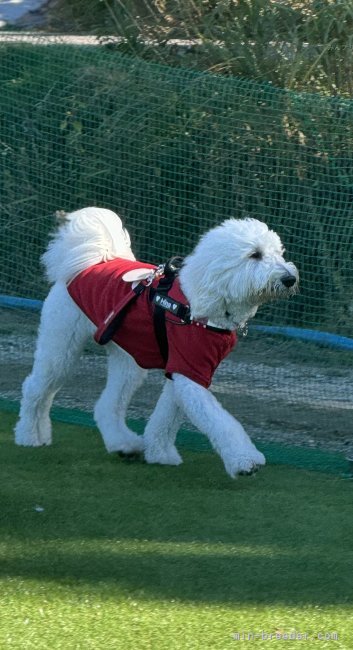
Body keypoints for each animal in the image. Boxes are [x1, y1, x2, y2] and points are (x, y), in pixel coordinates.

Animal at [13, 208, 296, 476]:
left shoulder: (184, 371)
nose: (290, 279)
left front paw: (160, 453)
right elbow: (220, 421)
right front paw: (245, 460)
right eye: (255, 255)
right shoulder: (189, 373)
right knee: (35, 389)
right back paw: (29, 435)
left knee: (107, 405)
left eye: (279, 253)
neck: (200, 303)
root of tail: (90, 262)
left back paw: (124, 444)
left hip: (127, 362)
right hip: (61, 349)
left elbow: (166, 418)